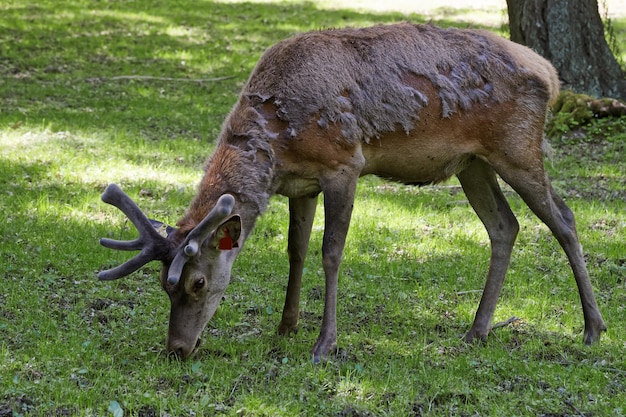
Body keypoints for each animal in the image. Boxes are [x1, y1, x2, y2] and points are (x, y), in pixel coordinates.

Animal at [97, 22, 604, 360]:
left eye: (198, 282)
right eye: (163, 286)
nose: (176, 348)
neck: (277, 142)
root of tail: (550, 73)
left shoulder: (344, 164)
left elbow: (331, 252)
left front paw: (324, 343)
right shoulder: (299, 184)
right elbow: (295, 250)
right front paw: (285, 327)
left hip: (518, 146)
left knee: (564, 219)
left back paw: (593, 328)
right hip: (473, 163)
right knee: (505, 226)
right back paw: (477, 330)